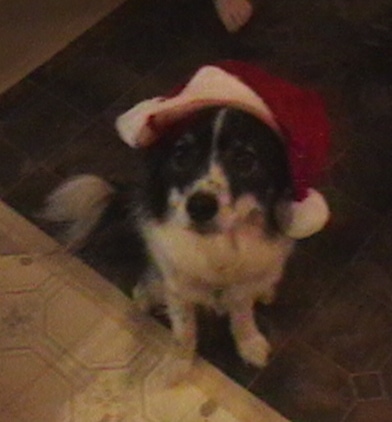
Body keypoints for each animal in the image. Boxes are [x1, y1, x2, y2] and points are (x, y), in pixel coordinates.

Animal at [42, 61, 330, 378]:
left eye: (245, 160)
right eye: (181, 154)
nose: (200, 207)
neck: (217, 248)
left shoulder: (241, 288)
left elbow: (242, 317)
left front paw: (250, 345)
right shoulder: (178, 289)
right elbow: (183, 331)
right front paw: (177, 366)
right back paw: (145, 297)